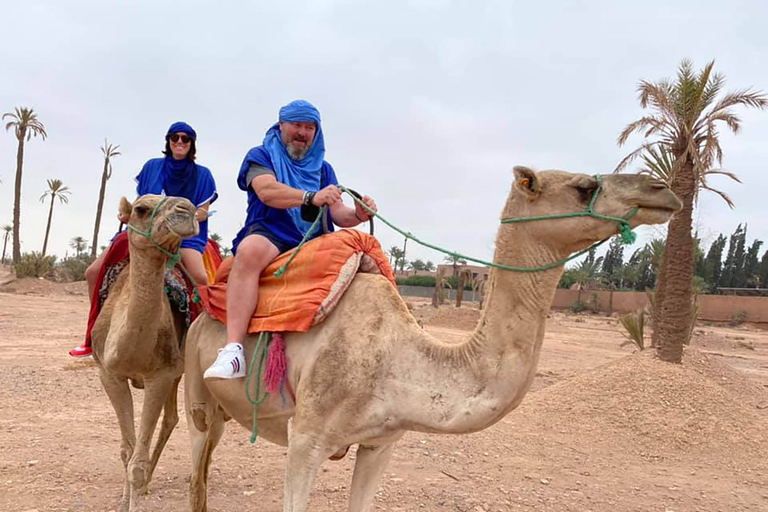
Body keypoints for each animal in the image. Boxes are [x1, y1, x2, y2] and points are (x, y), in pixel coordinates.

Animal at [91, 193, 198, 512]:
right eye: (141, 209)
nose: (187, 210)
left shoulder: (160, 375)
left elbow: (136, 464)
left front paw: (136, 493)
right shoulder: (109, 374)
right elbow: (127, 451)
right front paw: (124, 500)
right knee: (168, 420)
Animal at [183, 168, 680, 512]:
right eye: (583, 186)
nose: (662, 190)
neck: (398, 360)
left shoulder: (381, 443)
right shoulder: (306, 436)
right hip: (196, 386)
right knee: (190, 470)